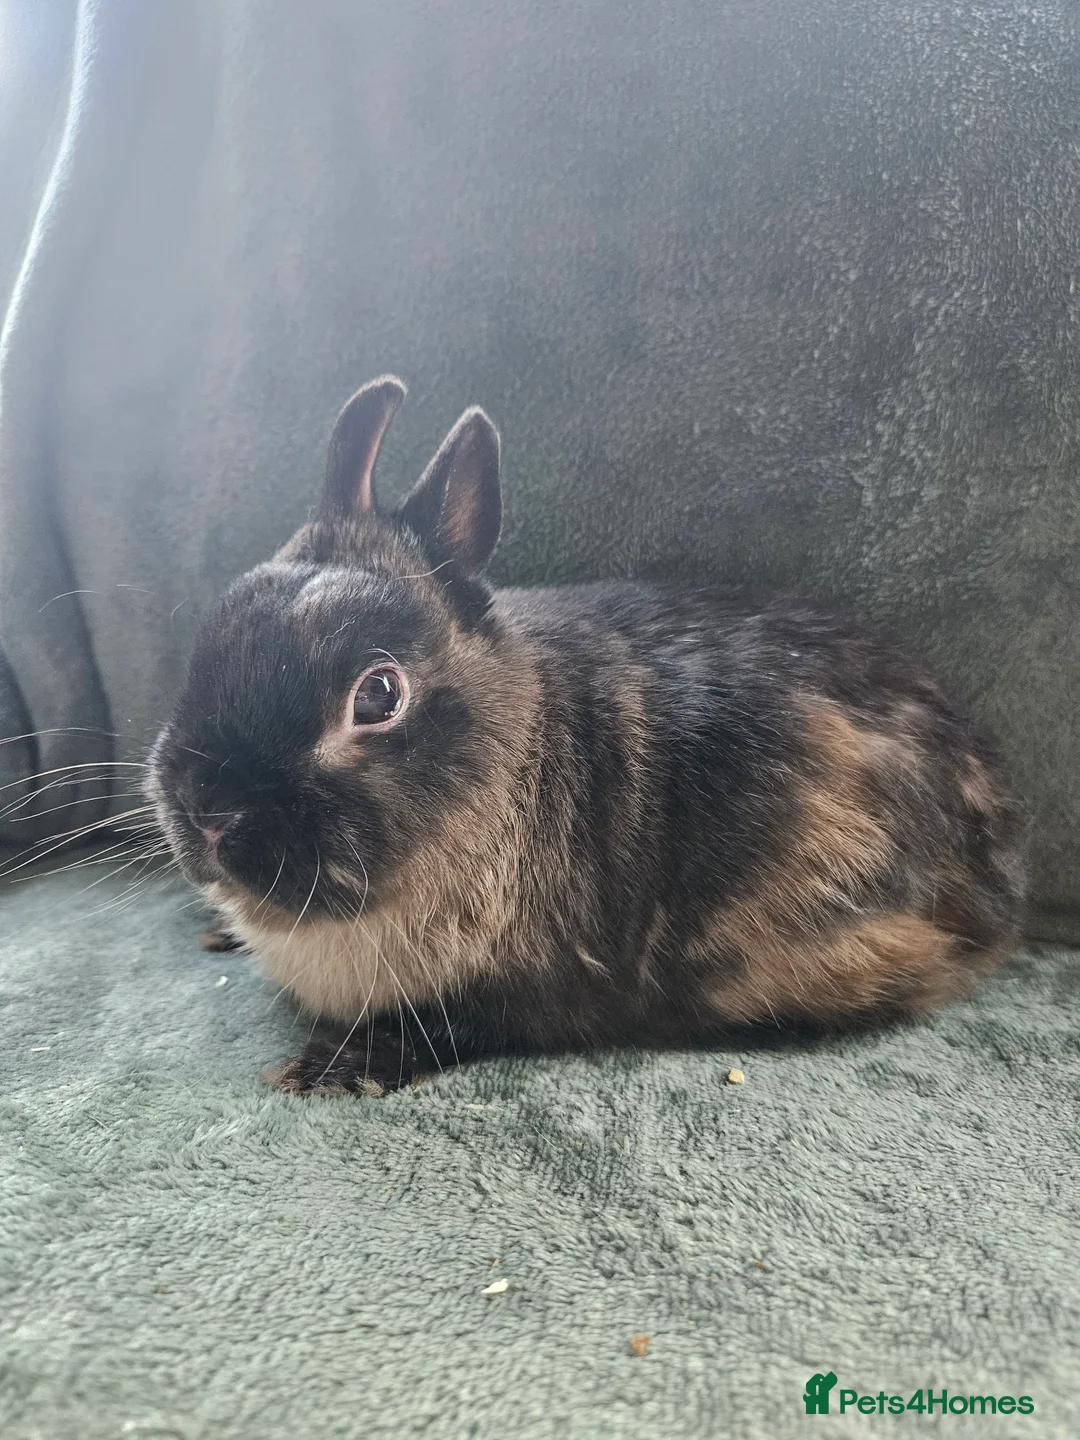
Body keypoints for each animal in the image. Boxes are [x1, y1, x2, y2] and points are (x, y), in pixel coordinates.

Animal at [147, 376, 1024, 1095]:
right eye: (215, 631)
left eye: (380, 696)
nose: (208, 809)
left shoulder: (525, 990)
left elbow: (452, 1026)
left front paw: (327, 1070)